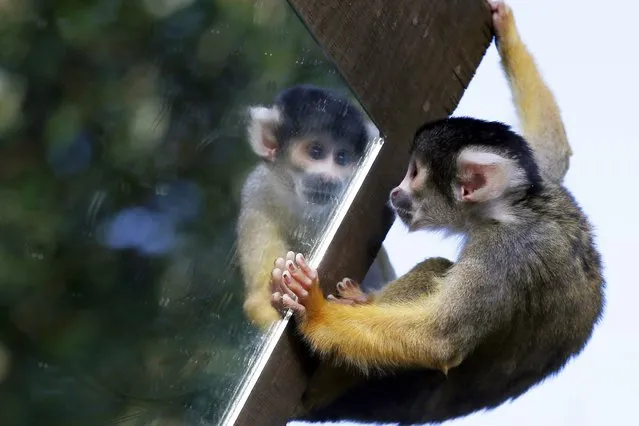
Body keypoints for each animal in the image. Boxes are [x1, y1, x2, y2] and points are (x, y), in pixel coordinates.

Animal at [236, 85, 396, 328]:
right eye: (316, 152)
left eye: (341, 157)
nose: (328, 179)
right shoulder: (256, 197)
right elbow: (257, 302)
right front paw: (282, 291)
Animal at [268, 2, 604, 422]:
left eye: (414, 173)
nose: (395, 191)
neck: (510, 209)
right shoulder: (544, 184)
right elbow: (555, 152)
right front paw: (508, 33)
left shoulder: (505, 254)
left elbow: (438, 341)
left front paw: (313, 310)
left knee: (436, 270)